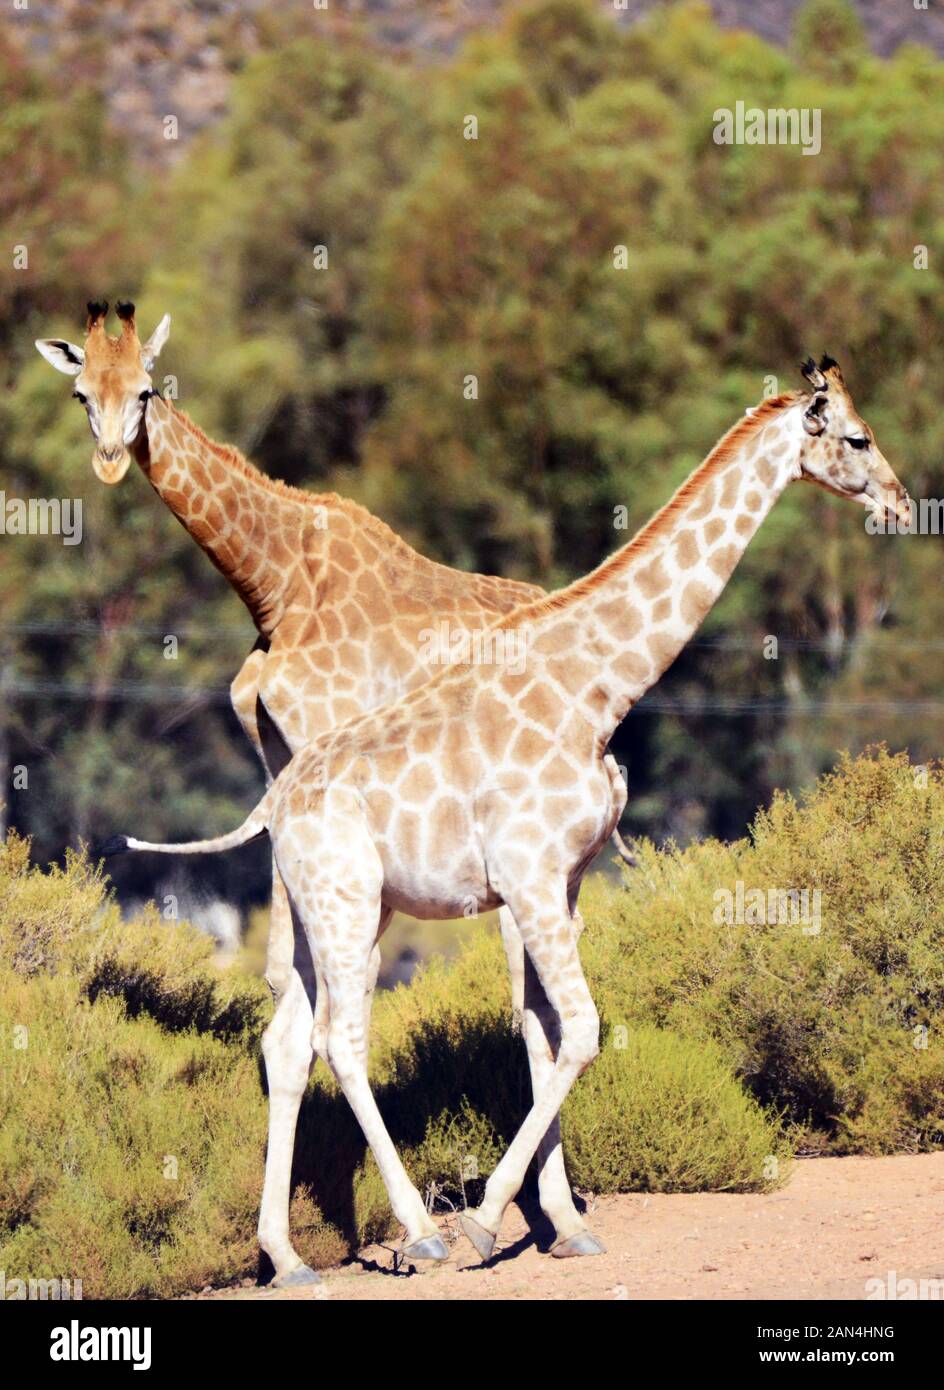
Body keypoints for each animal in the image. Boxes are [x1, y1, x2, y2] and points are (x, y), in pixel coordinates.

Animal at [35, 298, 633, 1284]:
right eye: (83, 391)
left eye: (148, 388)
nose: (113, 457)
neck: (274, 584)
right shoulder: (284, 776)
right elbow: (287, 1001)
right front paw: (285, 1251)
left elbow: (313, 1004)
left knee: (528, 1003)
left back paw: (555, 1218)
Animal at [101, 358, 906, 1273]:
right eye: (858, 438)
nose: (900, 502)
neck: (597, 690)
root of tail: (276, 801)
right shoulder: (530, 876)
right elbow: (580, 1031)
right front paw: (489, 1219)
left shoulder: (568, 881)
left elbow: (546, 1032)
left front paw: (562, 1224)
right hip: (349, 906)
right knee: (341, 1040)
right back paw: (420, 1233)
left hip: (329, 909)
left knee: (285, 1040)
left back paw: (290, 1259)